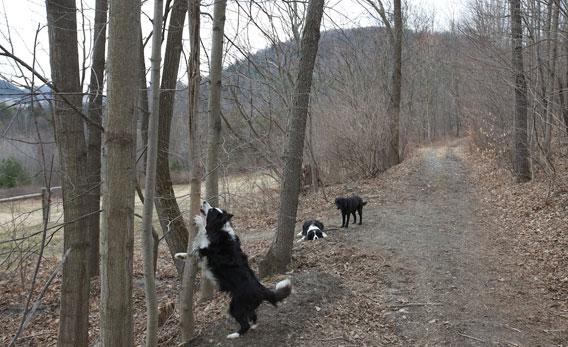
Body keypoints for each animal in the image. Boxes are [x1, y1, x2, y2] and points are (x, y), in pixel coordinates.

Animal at [174, 201, 290, 340]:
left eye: (212, 211)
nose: (204, 201)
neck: (219, 230)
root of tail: (261, 289)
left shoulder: (206, 253)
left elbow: (195, 251)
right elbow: (191, 252)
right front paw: (179, 255)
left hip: (236, 306)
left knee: (245, 324)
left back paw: (234, 334)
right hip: (246, 306)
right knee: (253, 316)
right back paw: (254, 326)